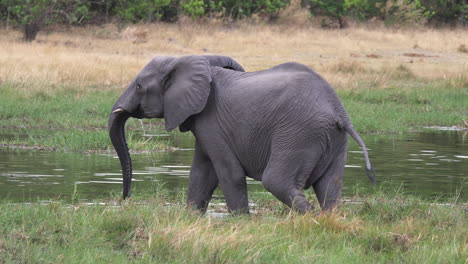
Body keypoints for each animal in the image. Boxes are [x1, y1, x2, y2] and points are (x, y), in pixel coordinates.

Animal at [108, 54, 374, 213]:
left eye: (139, 86)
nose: (125, 199)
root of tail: (338, 110)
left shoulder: (212, 121)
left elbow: (228, 173)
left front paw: (241, 221)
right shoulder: (204, 123)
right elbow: (201, 173)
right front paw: (191, 217)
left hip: (300, 133)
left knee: (277, 181)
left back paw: (311, 222)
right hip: (332, 138)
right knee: (330, 187)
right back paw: (330, 220)